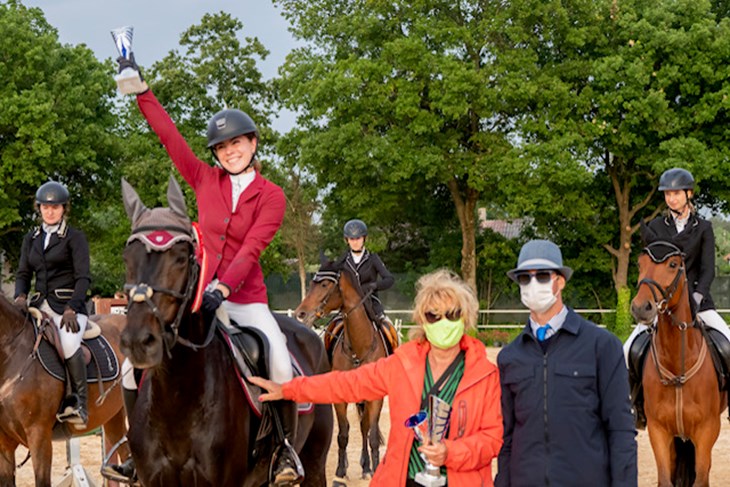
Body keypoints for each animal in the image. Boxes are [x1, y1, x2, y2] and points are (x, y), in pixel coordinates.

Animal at [292, 262, 390, 482]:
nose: (300, 314)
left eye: (325, 284)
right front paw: (340, 470)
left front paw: (374, 469)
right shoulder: (340, 399)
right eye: (312, 283)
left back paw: (367, 467)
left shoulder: (375, 398)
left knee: (365, 428)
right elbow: (343, 434)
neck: (359, 347)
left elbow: (371, 435)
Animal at [628, 241, 724, 487]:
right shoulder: (659, 431)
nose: (641, 307)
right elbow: (665, 479)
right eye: (640, 264)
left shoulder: (707, 431)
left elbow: (701, 479)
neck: (676, 366)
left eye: (673, 265)